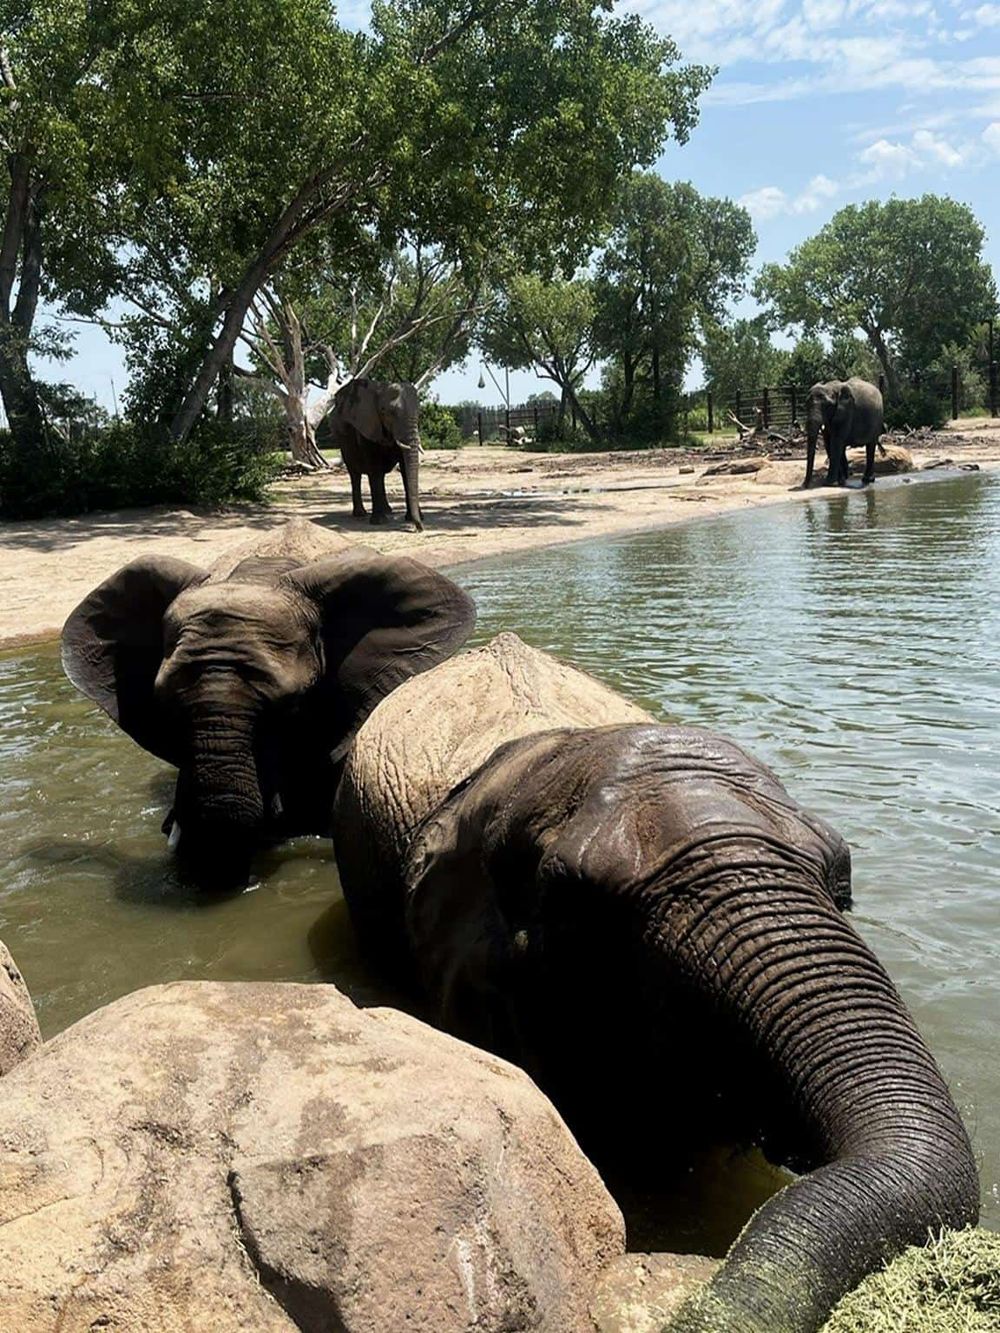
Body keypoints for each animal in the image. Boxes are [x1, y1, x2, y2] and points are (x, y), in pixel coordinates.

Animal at [326, 377, 424, 529]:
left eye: (419, 412)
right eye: (385, 411)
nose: (419, 528)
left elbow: (404, 468)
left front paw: (413, 518)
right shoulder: (367, 426)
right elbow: (374, 468)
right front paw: (379, 522)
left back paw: (388, 510)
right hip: (341, 439)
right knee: (355, 475)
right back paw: (360, 513)